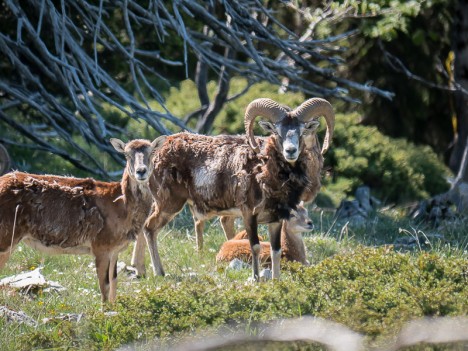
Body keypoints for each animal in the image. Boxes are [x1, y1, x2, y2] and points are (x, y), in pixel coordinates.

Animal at [0, 138, 166, 306]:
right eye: (126, 154)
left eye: (152, 152)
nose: (141, 171)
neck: (121, 207)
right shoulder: (100, 245)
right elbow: (105, 286)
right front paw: (105, 310)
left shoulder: (114, 250)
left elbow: (114, 282)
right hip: (5, 238)